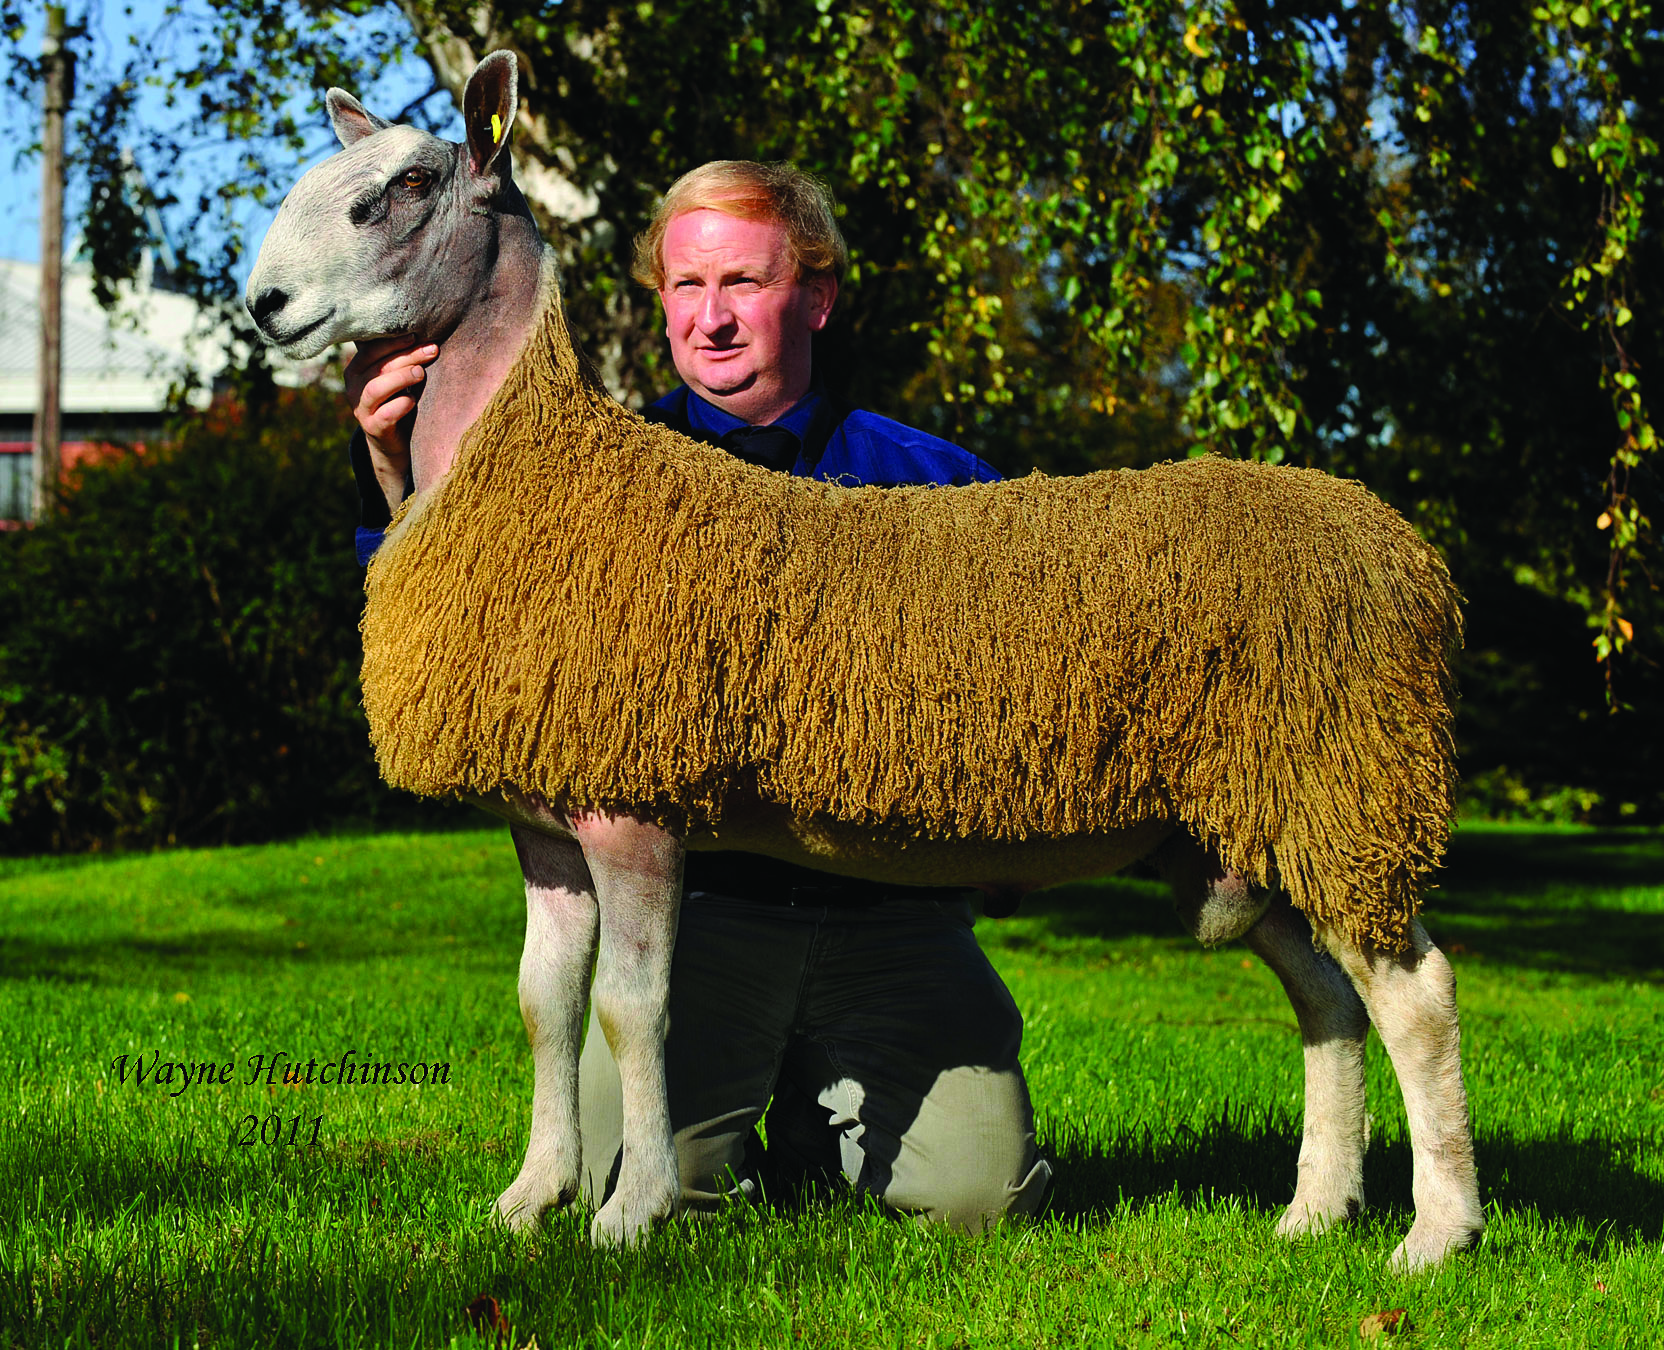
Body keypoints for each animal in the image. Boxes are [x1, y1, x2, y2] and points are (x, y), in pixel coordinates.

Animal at [242, 52, 1484, 1271]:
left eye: (407, 187)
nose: (263, 306)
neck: (519, 464)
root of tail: (1404, 548)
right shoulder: (543, 812)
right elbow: (544, 1006)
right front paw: (528, 1199)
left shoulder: (635, 803)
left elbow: (633, 1015)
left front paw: (631, 1213)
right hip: (1247, 822)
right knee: (1327, 999)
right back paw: (1314, 1209)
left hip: (1341, 778)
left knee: (1413, 993)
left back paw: (1435, 1232)